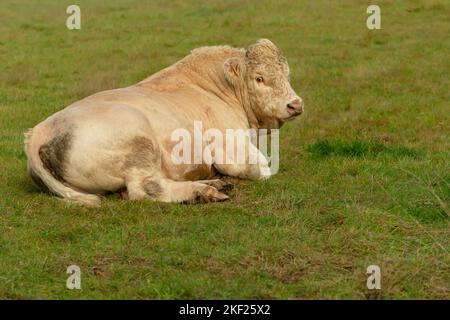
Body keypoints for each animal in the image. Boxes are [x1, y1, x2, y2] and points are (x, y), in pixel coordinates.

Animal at [23, 38, 302, 206]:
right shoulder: (233, 151)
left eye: (287, 75)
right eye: (259, 78)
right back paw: (202, 190)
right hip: (139, 142)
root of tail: (39, 131)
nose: (295, 104)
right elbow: (262, 169)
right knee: (145, 189)